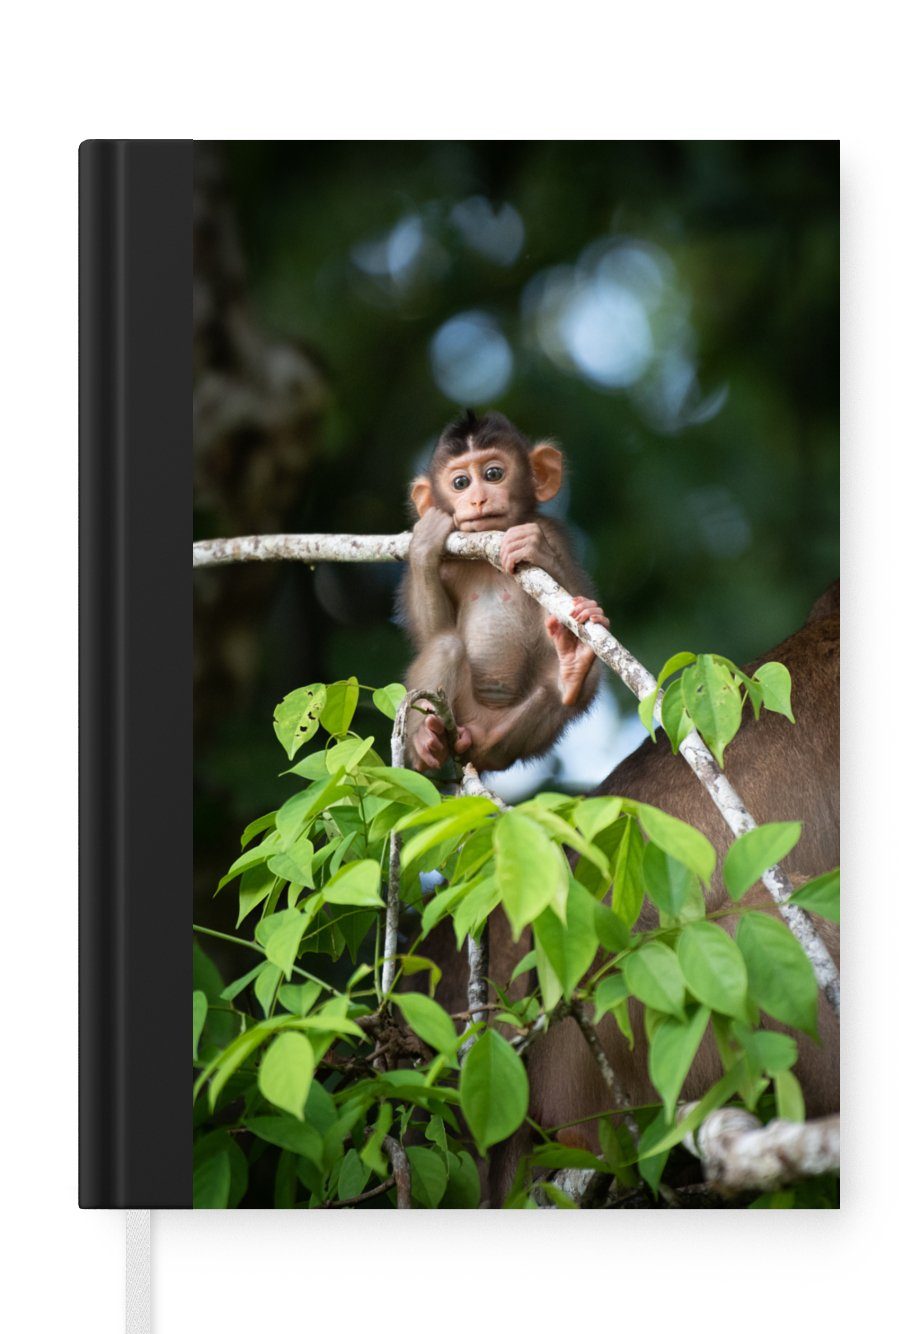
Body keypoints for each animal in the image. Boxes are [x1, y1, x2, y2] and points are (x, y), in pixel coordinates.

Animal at [399, 410, 609, 774]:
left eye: (493, 474)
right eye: (460, 483)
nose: (478, 498)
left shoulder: (553, 532)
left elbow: (567, 590)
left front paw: (534, 548)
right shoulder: (446, 561)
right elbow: (430, 632)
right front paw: (425, 542)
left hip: (505, 737)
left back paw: (572, 670)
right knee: (445, 645)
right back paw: (426, 744)